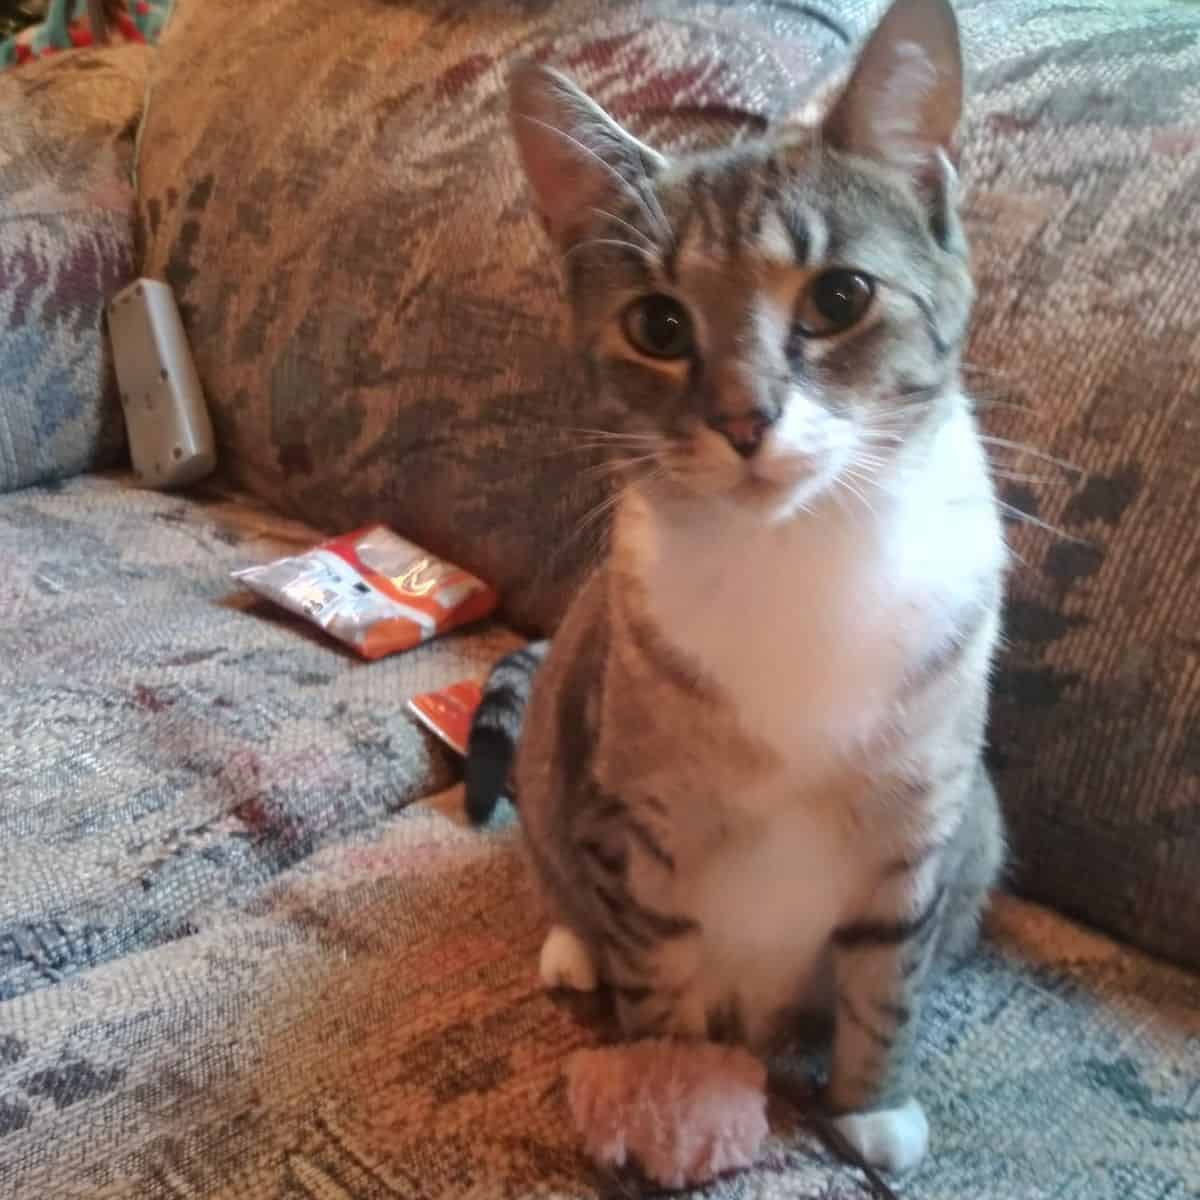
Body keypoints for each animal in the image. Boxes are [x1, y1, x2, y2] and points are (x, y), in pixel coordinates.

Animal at [463, 0, 1008, 1171]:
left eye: (841, 297)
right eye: (658, 326)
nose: (746, 419)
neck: (801, 557)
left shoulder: (922, 817)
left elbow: (889, 973)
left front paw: (869, 1107)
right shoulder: (636, 822)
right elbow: (657, 976)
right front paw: (669, 1099)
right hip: (558, 752)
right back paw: (572, 948)